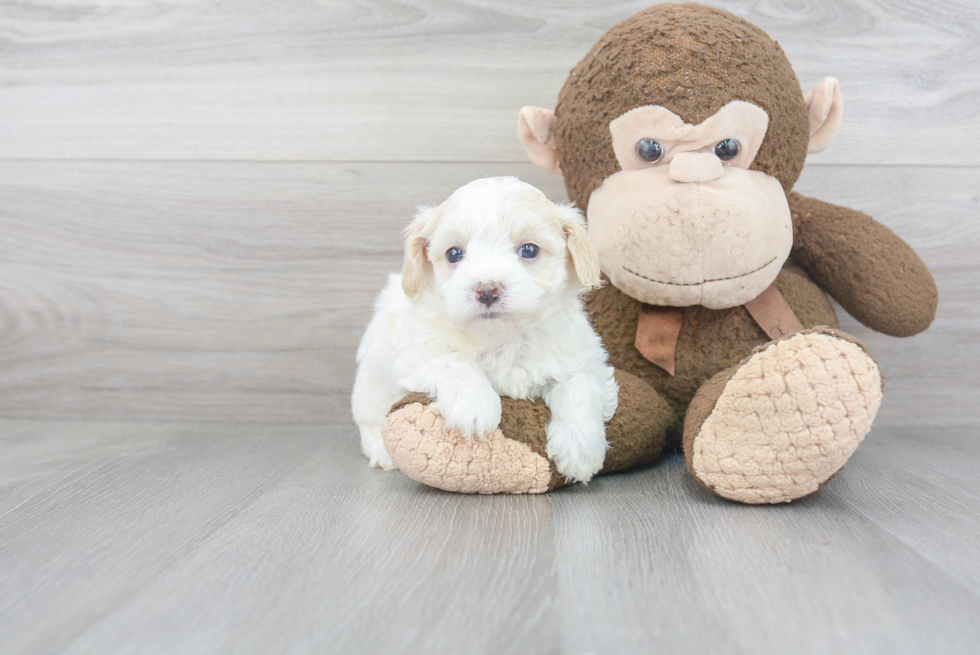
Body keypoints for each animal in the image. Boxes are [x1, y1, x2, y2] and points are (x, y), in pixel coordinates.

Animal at [348, 177, 616, 484]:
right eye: (454, 254)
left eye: (529, 250)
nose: (487, 289)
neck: (501, 337)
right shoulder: (415, 356)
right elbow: (453, 360)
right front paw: (474, 406)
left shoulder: (583, 356)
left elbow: (580, 388)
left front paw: (580, 450)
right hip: (371, 385)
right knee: (371, 425)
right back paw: (382, 452)